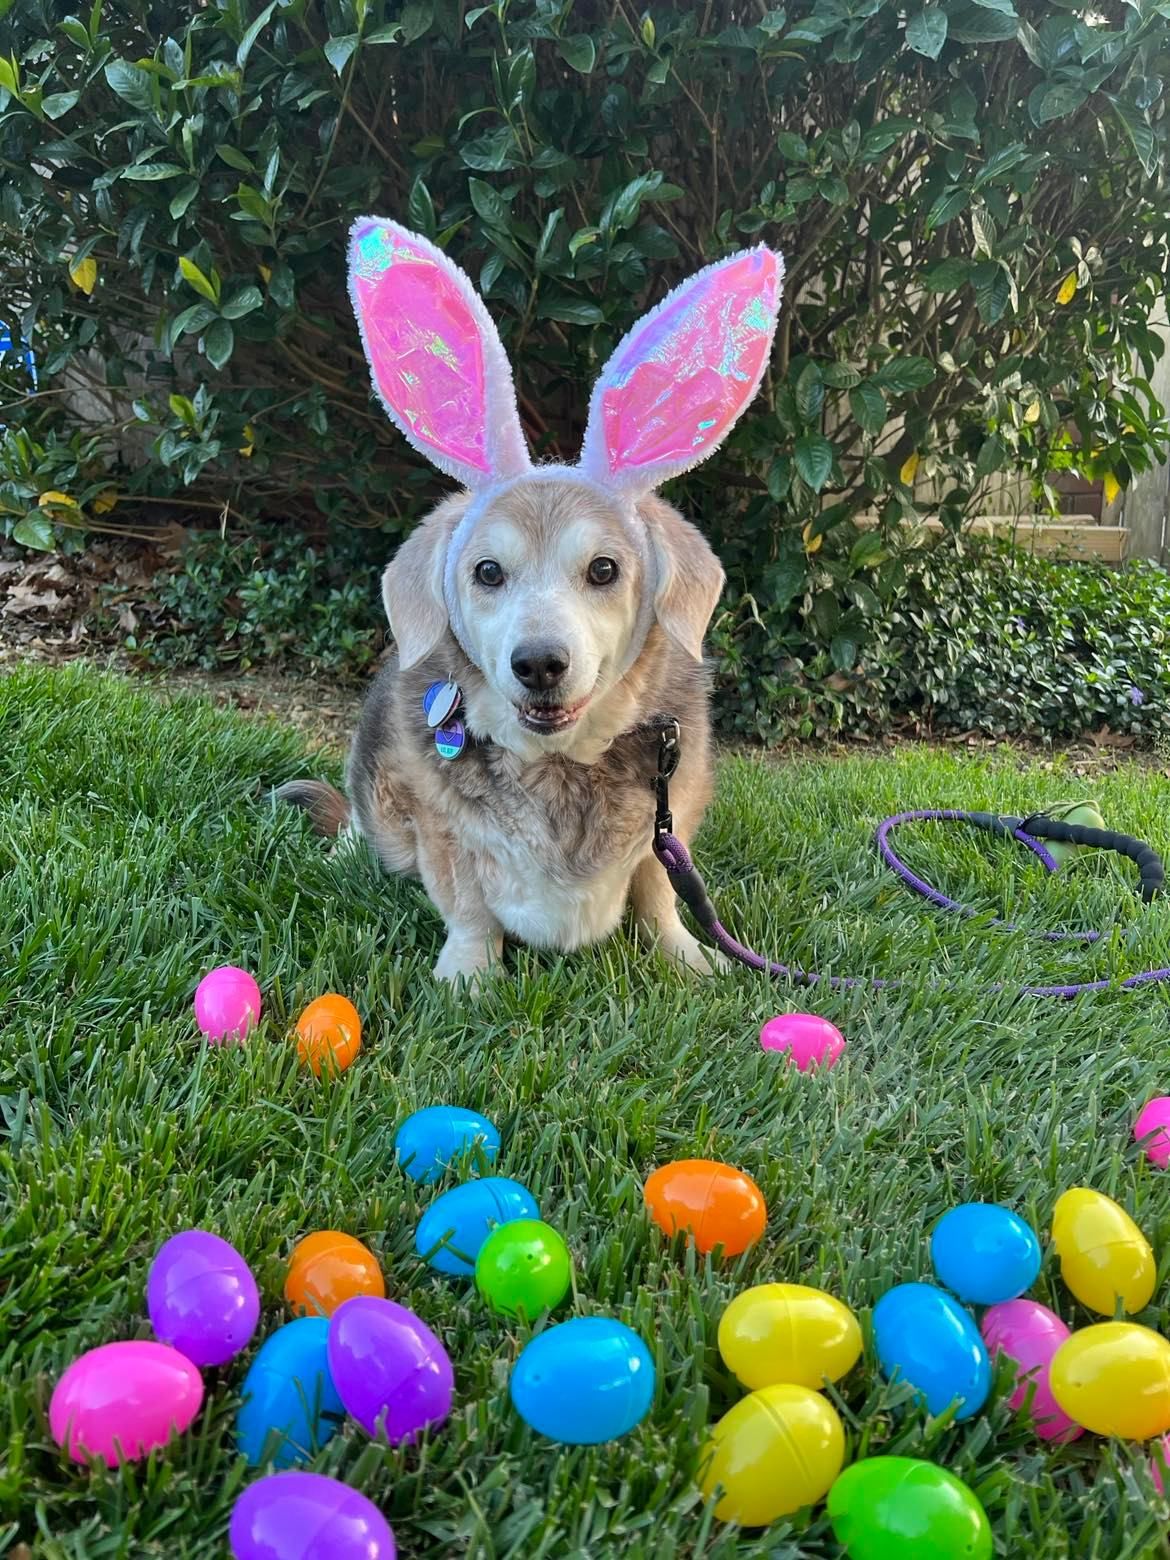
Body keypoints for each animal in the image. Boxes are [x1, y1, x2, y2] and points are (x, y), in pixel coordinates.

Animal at [277, 221, 783, 985]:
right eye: (488, 571)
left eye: (604, 568)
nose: (539, 664)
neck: (558, 762)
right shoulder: (444, 833)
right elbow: (468, 908)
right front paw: (469, 978)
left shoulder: (670, 820)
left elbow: (660, 892)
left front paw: (687, 958)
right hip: (379, 790)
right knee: (368, 829)